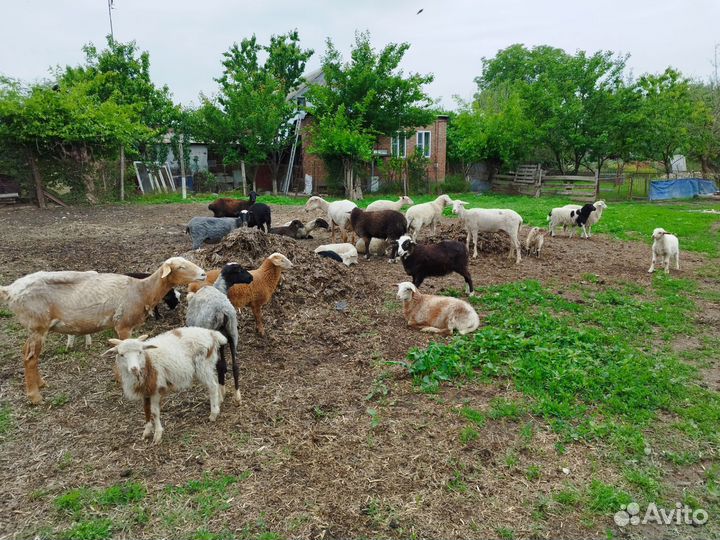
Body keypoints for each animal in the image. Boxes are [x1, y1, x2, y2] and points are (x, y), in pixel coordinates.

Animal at [0, 257, 206, 404]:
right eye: (180, 267)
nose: (203, 274)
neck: (142, 290)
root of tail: (10, 290)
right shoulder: (123, 325)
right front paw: (124, 381)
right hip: (38, 325)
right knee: (30, 358)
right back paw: (35, 396)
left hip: (34, 328)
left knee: (27, 353)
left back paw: (41, 383)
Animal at [186, 263, 254, 403]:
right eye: (240, 270)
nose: (251, 277)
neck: (219, 288)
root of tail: (221, 311)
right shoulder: (225, 338)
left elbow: (221, 365)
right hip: (233, 333)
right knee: (235, 366)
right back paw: (237, 396)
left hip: (215, 336)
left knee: (219, 365)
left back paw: (221, 394)